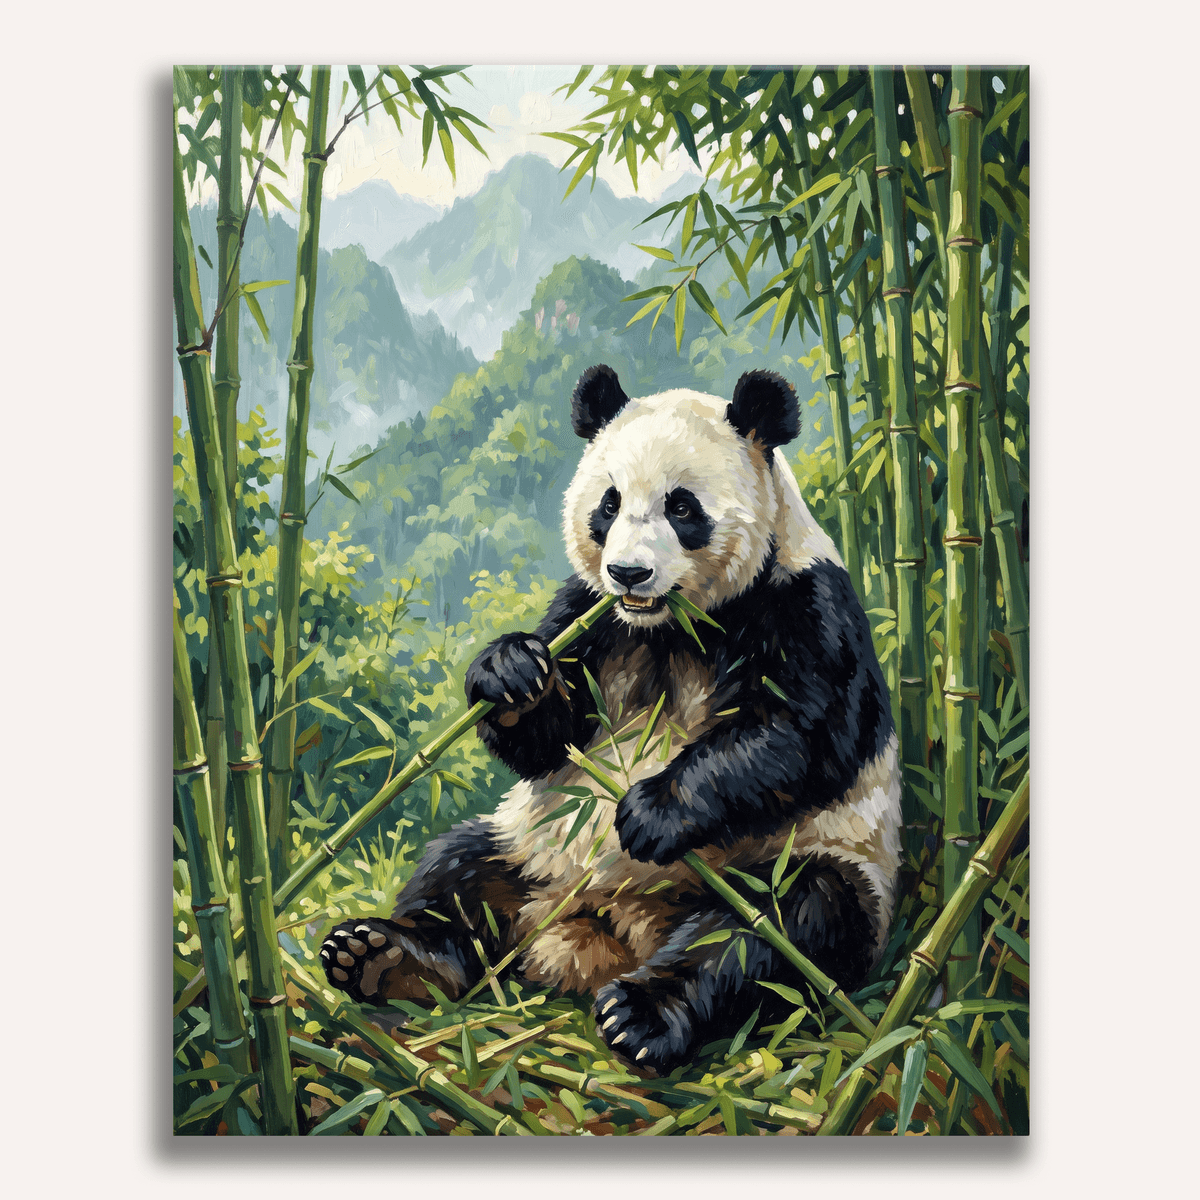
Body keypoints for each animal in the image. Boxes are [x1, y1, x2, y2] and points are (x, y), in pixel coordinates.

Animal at [321, 365, 901, 1075]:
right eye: (609, 504)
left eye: (682, 508)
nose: (628, 572)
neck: (673, 625)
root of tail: (605, 938)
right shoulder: (591, 615)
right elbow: (549, 739)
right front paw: (511, 671)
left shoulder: (806, 604)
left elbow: (801, 735)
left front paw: (653, 813)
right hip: (533, 848)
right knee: (458, 872)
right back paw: (383, 958)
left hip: (815, 859)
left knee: (774, 928)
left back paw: (642, 1015)